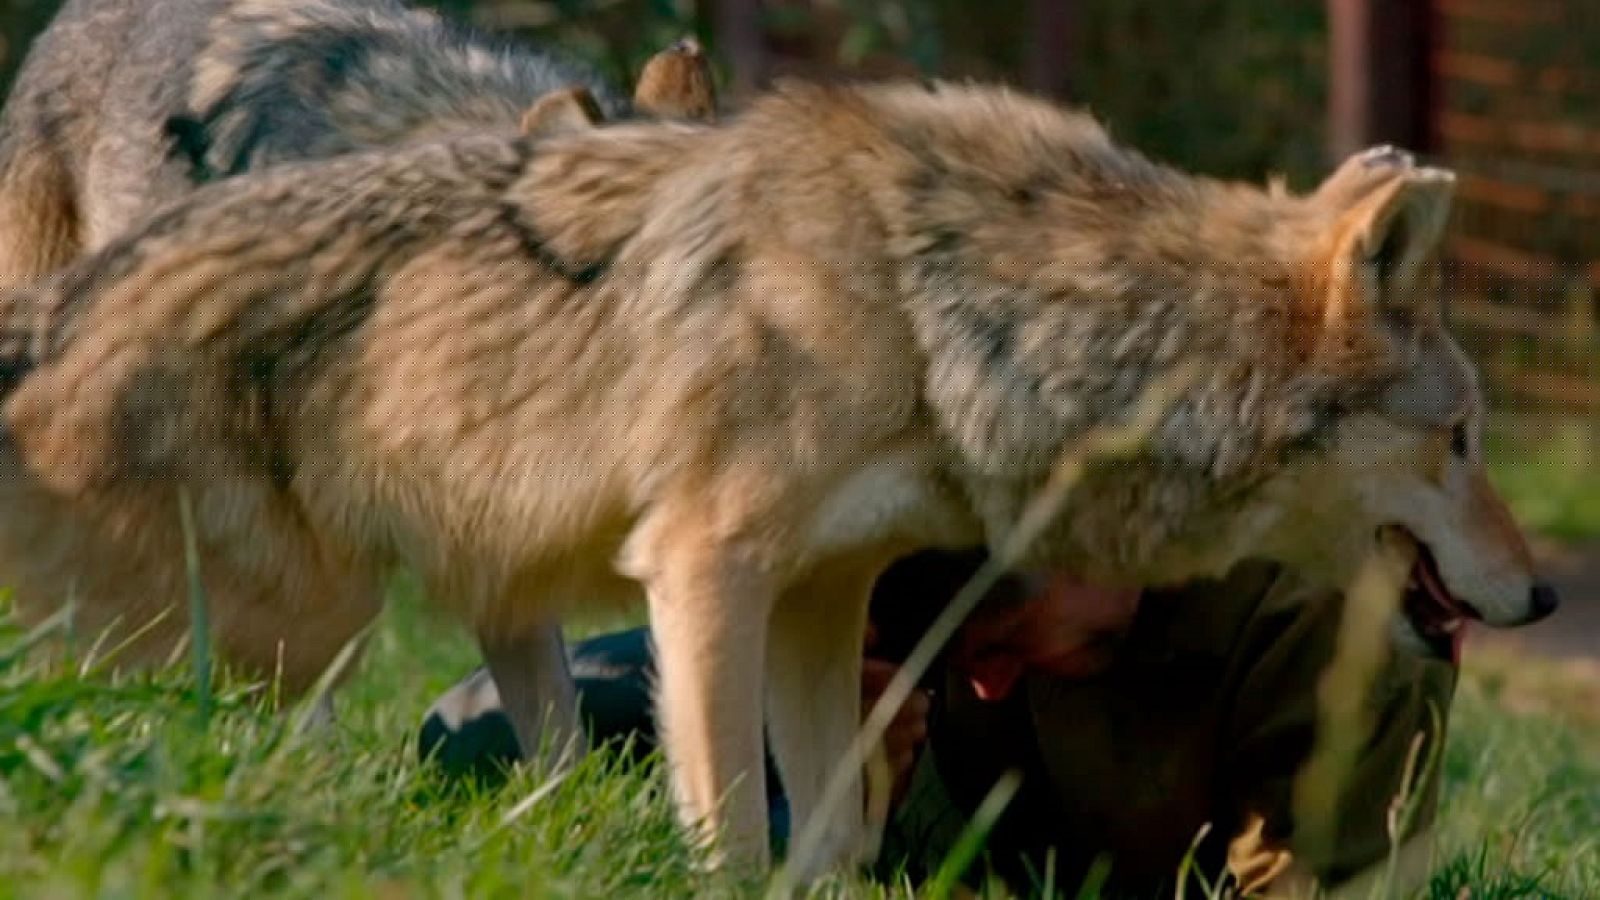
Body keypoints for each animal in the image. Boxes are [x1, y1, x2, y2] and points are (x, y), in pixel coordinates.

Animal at [0, 82, 1557, 874]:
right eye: (1461, 439)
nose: (1543, 597)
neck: (951, 308)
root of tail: (63, 308)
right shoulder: (708, 571)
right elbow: (740, 838)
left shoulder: (825, 601)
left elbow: (834, 834)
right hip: (285, 633)